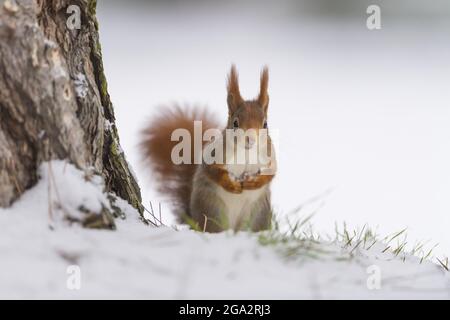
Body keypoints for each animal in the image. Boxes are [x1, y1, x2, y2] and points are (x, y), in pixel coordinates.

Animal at [141, 65, 276, 231]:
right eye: (235, 123)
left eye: (265, 124)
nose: (250, 140)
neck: (246, 152)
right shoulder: (215, 153)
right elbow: (211, 170)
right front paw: (230, 184)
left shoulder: (270, 155)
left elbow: (271, 173)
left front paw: (254, 182)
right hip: (212, 211)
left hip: (257, 216)